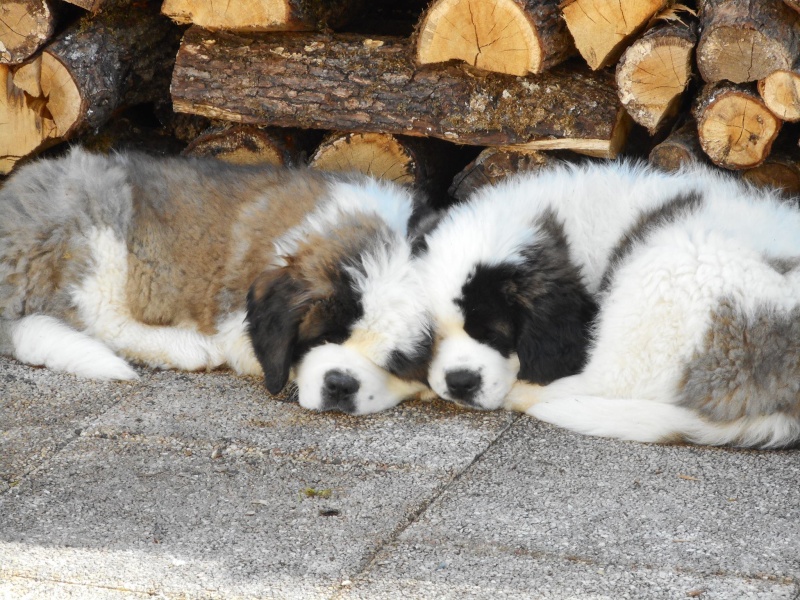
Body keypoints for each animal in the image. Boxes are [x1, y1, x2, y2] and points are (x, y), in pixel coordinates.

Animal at [0, 148, 434, 414]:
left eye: (396, 362)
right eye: (322, 338)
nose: (341, 386)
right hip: (97, 217)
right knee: (103, 319)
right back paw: (187, 347)